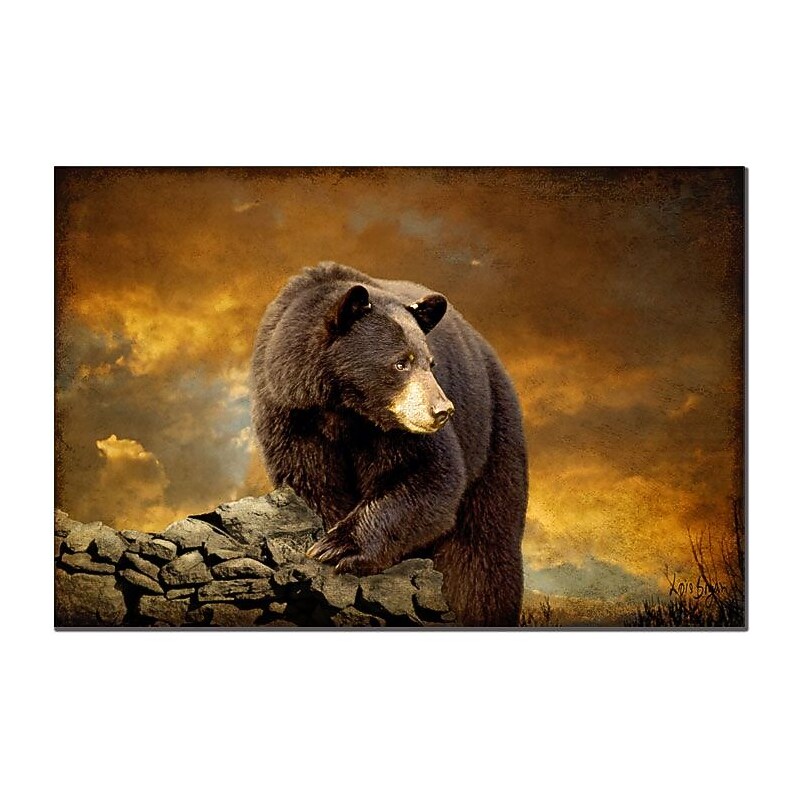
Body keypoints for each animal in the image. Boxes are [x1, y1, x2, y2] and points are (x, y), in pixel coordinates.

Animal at [250, 262, 528, 626]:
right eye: (400, 362)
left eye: (430, 363)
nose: (442, 410)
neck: (344, 410)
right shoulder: (291, 415)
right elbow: (312, 481)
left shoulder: (396, 431)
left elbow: (428, 475)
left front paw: (339, 546)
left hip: (492, 432)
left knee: (483, 552)